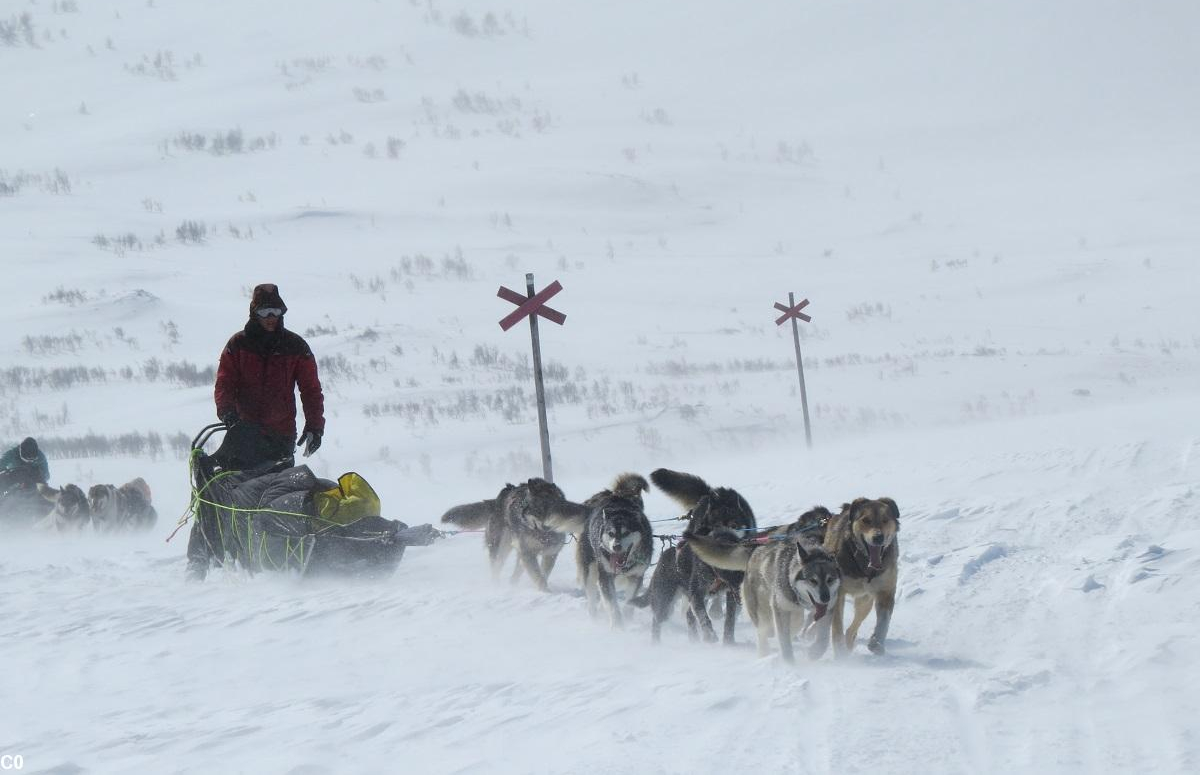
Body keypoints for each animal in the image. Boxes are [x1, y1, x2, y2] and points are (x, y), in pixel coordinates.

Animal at [825, 499, 902, 657]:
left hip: (865, 601)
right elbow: (837, 625)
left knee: (852, 629)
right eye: (866, 520)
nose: (878, 537)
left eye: (885, 520)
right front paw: (839, 651)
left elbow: (884, 621)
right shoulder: (838, 593)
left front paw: (877, 643)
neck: (865, 568)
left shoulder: (886, 590)